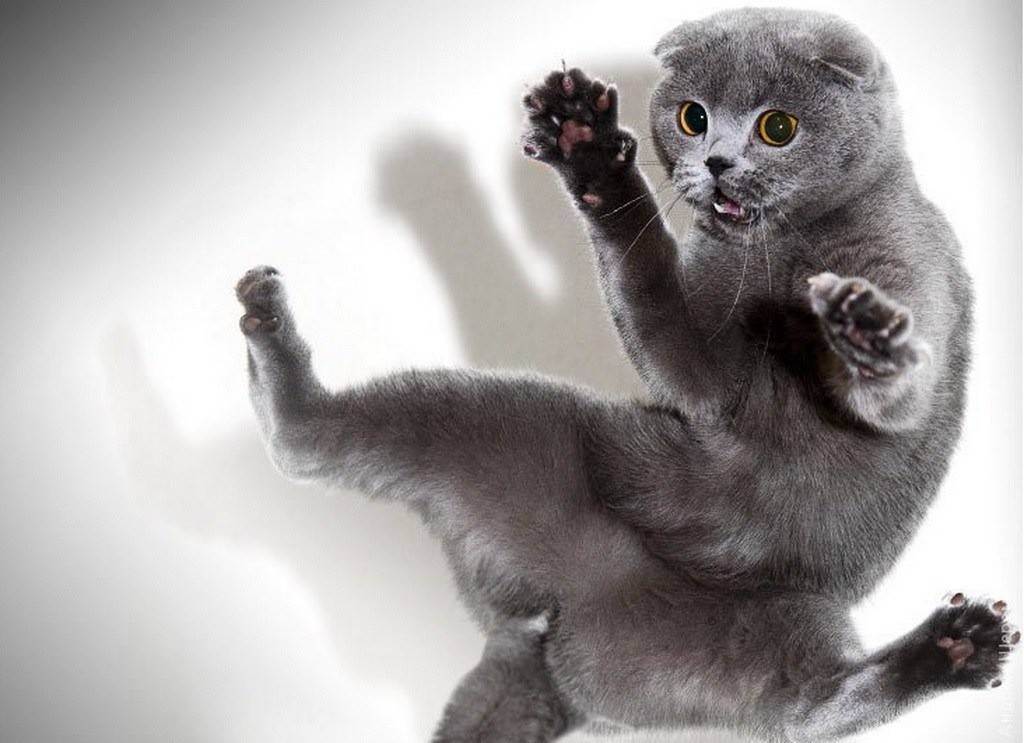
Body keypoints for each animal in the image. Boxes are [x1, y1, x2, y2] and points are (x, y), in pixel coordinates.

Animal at [234, 8, 1017, 742]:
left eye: (778, 127)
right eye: (693, 116)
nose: (718, 163)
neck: (778, 249)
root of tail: (560, 632)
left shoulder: (906, 269)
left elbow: (892, 390)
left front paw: (861, 328)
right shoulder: (704, 359)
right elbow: (650, 288)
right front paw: (588, 151)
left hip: (771, 624)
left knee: (811, 705)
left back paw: (953, 648)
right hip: (506, 424)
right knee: (309, 440)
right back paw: (265, 318)